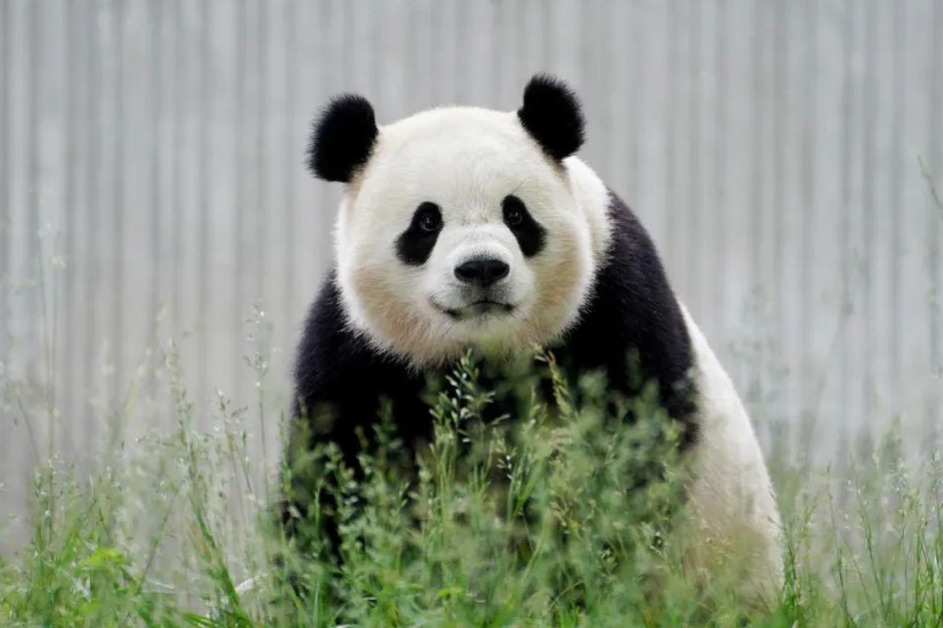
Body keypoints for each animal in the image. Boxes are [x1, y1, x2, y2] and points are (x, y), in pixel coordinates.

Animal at [282, 74, 783, 602]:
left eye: (516, 215)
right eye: (427, 221)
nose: (482, 268)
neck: (481, 358)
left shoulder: (613, 305)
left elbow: (624, 457)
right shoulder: (359, 349)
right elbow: (336, 473)